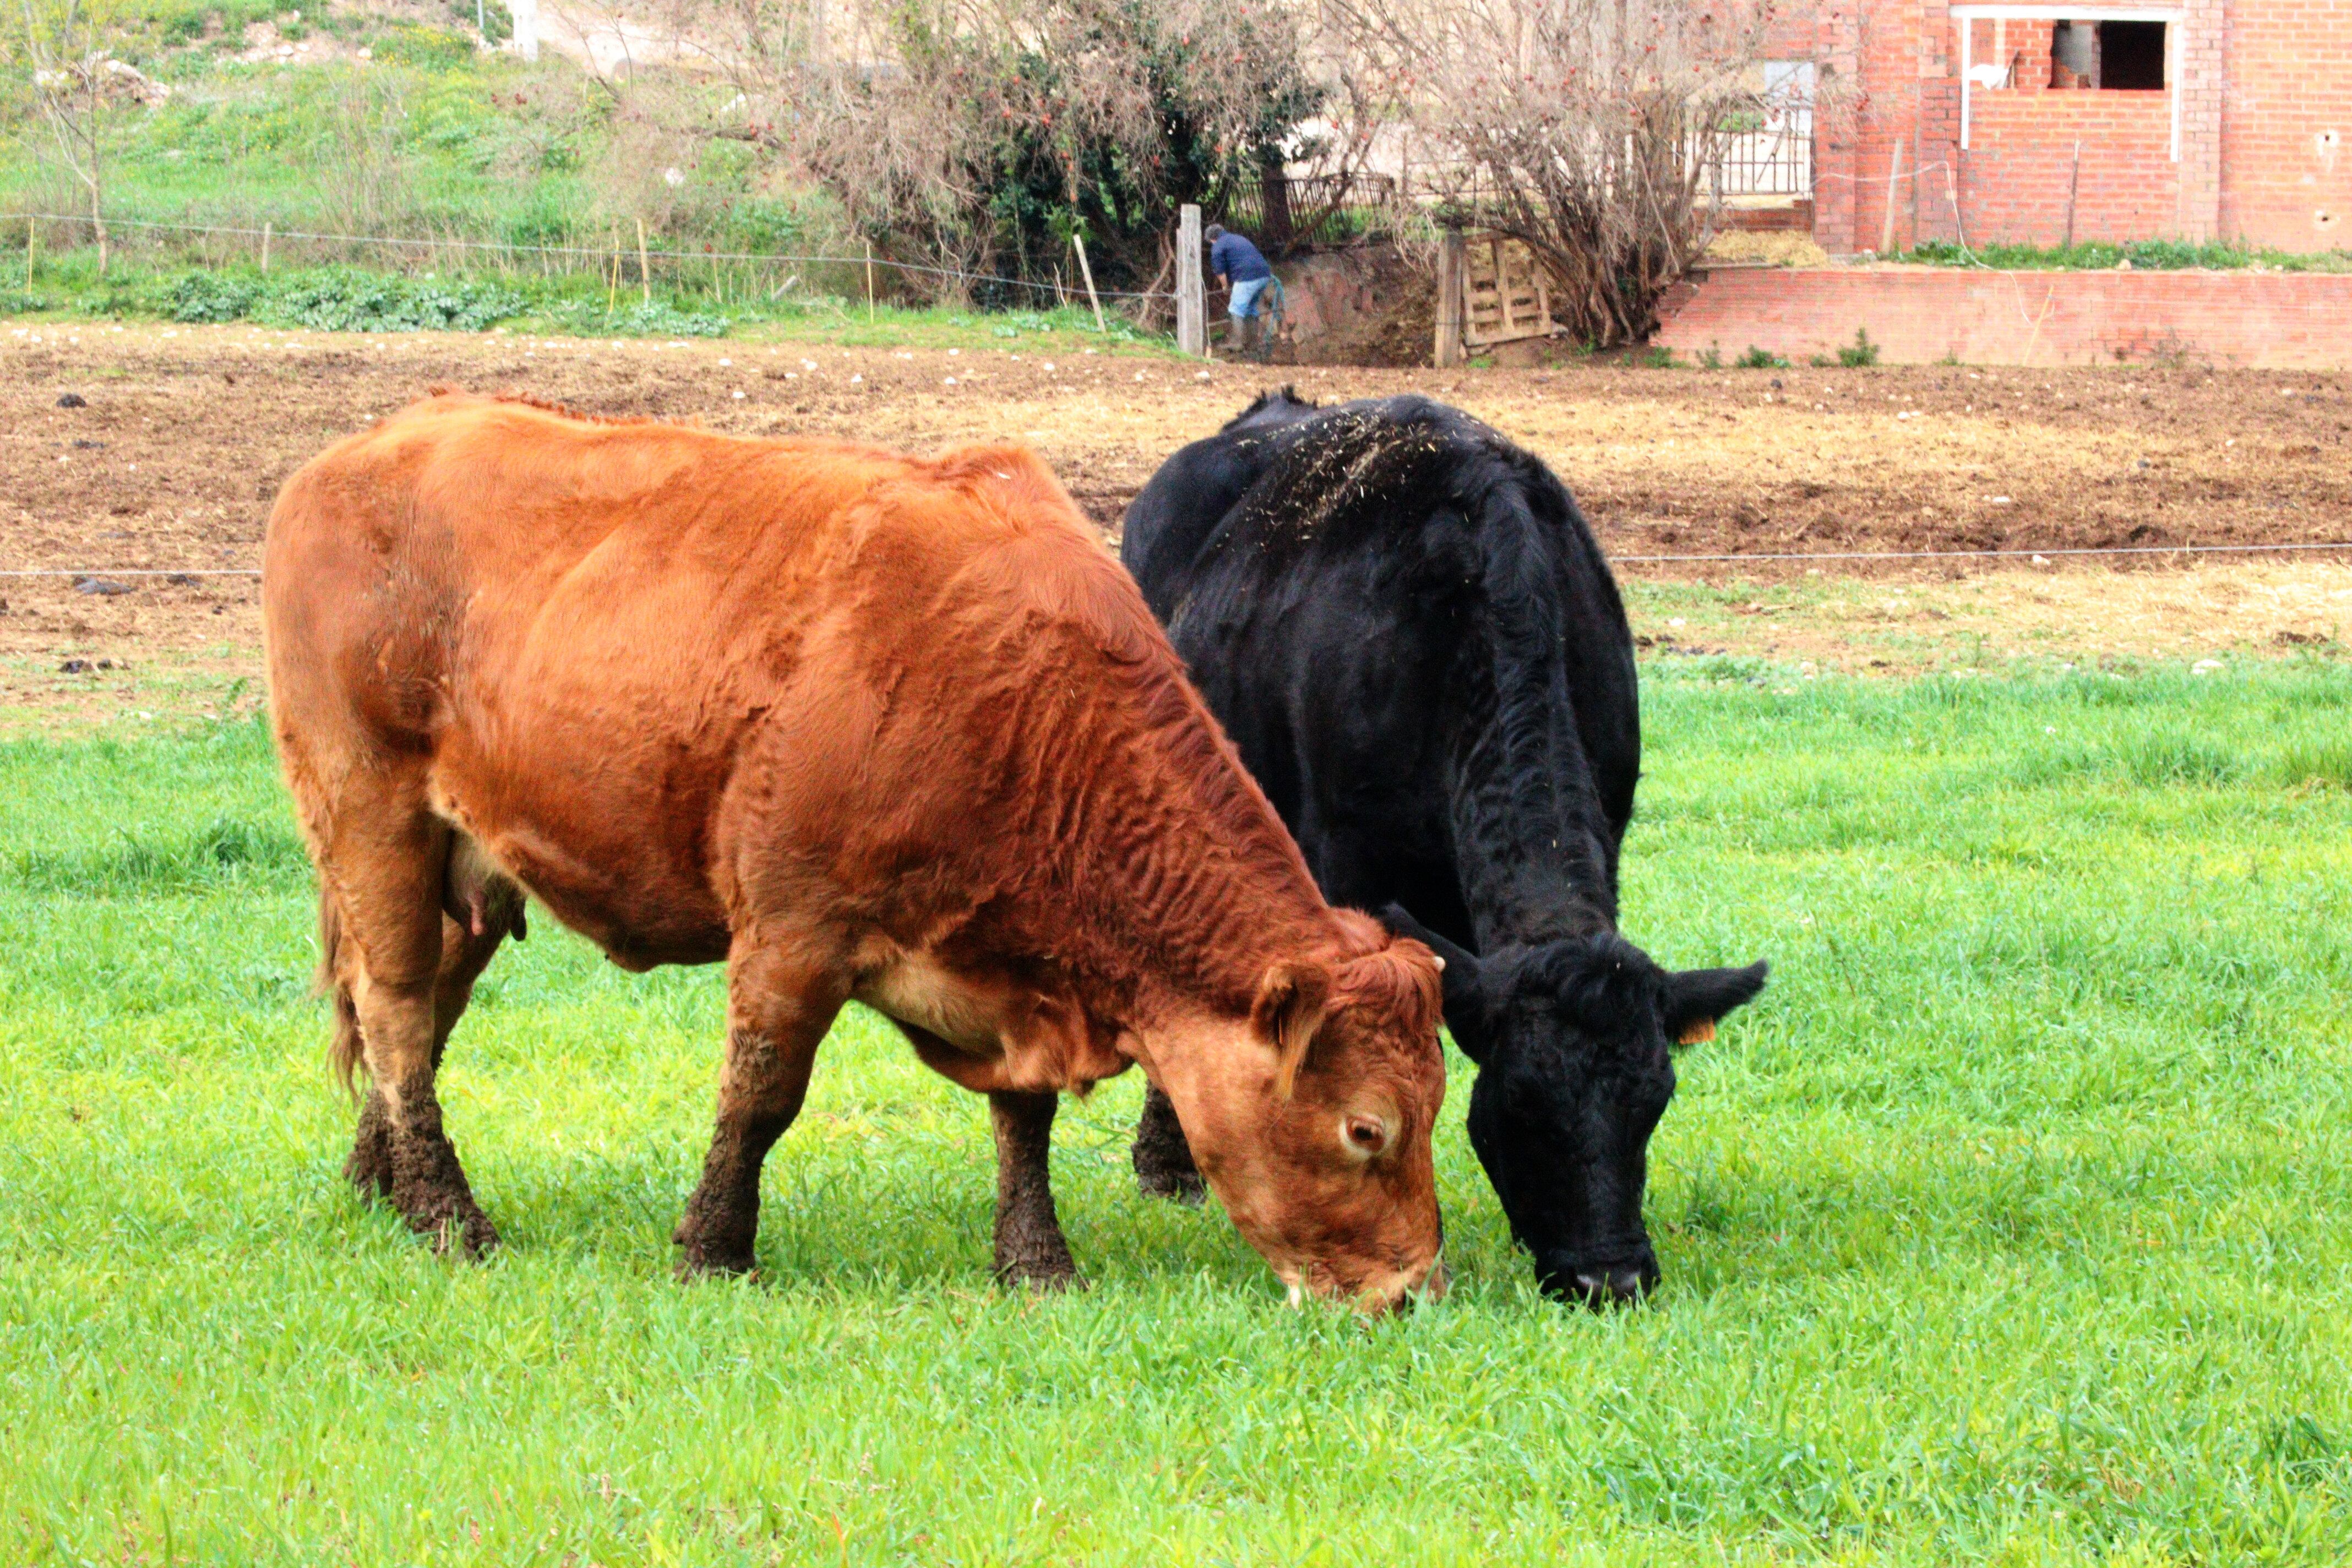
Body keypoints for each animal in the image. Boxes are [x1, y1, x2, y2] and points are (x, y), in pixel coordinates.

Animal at [253, 390, 1430, 1316]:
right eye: (1366, 1128)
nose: (1413, 1288)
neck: (1019, 700)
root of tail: (367, 445)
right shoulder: (792, 927)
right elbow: (761, 1094)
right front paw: (714, 1249)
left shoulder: (1009, 966)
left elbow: (1025, 1117)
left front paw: (1036, 1261)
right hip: (371, 815)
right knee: (397, 1009)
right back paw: (450, 1215)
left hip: (466, 869)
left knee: (422, 1013)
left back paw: (382, 1179)